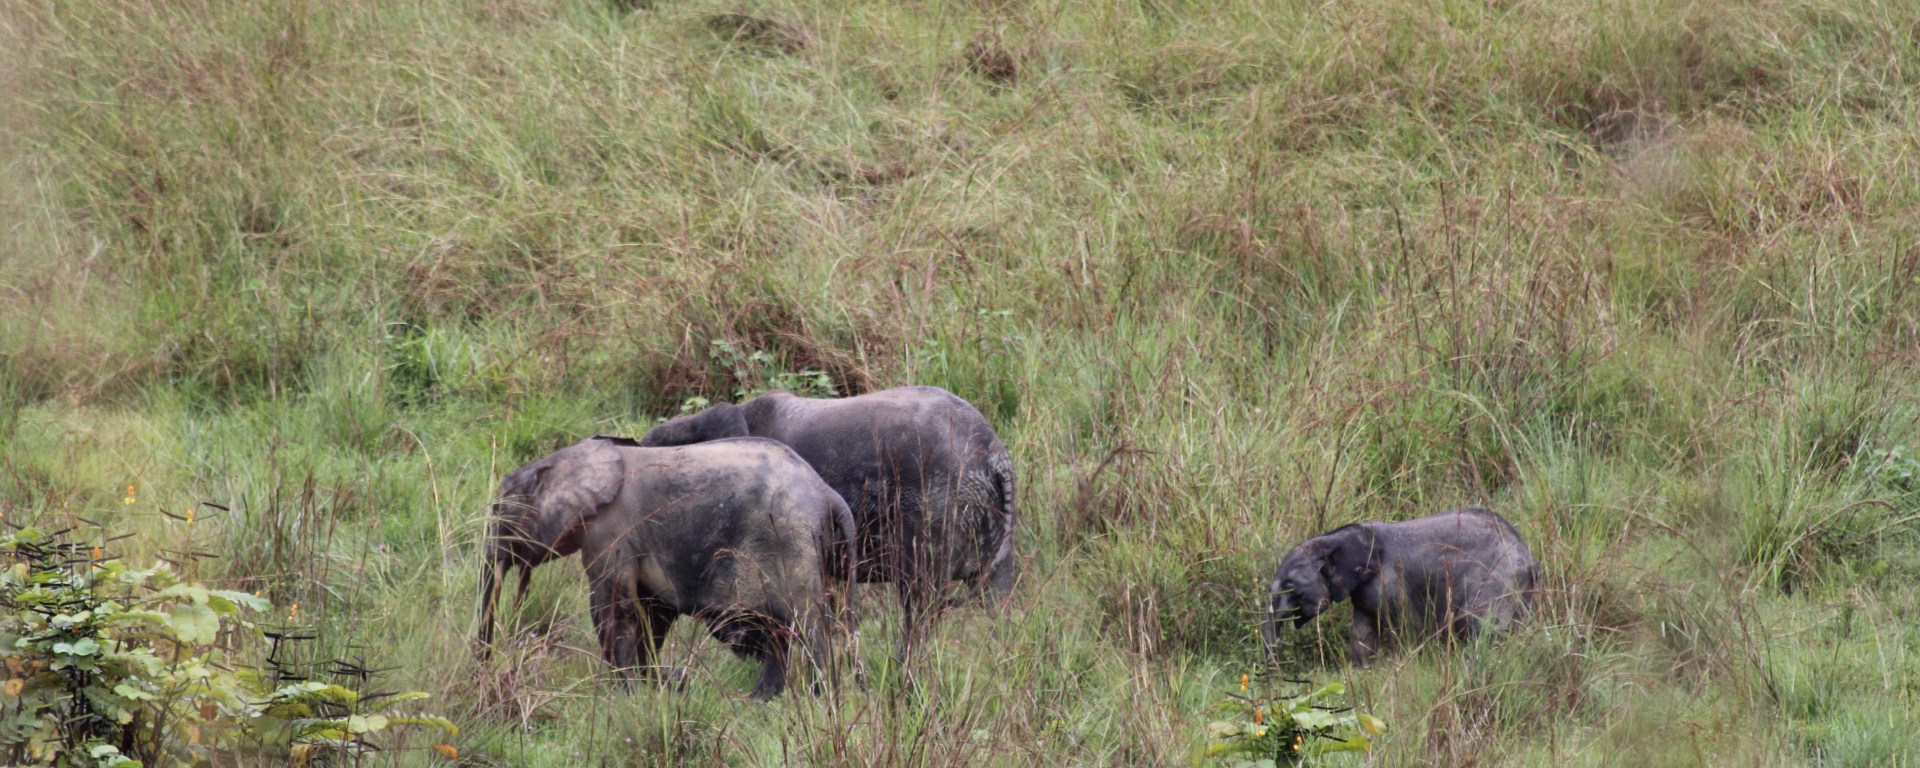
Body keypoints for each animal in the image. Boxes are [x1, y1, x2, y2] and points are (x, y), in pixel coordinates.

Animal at [477, 435, 856, 701]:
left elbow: (612, 609)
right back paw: (760, 700)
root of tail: (827, 495)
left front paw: (624, 695)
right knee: (780, 628)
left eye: (497, 509)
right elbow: (651, 613)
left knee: (804, 622)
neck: (568, 457)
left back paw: (817, 698)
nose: (483, 671)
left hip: (790, 540)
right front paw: (655, 687)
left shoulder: (611, 530)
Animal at [1264, 507, 1539, 665]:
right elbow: (1363, 634)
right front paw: (1363, 671)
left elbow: (1408, 627)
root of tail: (1529, 557)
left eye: (1289, 585)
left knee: (1481, 626)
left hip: (1498, 578)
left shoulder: (1390, 580)